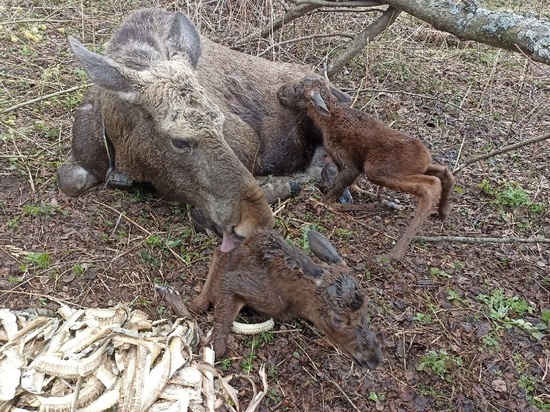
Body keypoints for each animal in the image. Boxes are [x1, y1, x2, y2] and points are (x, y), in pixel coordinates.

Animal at [58, 7, 352, 251]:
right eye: (179, 140)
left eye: (220, 122)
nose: (259, 219)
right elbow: (68, 179)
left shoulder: (246, 141)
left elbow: (202, 213)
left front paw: (279, 185)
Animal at [190, 229, 384, 370]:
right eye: (337, 319)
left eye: (367, 309)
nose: (374, 360)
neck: (294, 304)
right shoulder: (242, 285)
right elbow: (219, 341)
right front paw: (210, 347)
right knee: (218, 253)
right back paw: (199, 302)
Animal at [280, 75, 458, 260]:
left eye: (297, 89)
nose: (280, 91)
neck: (327, 122)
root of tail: (425, 157)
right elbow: (348, 187)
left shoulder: (350, 164)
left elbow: (332, 196)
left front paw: (323, 204)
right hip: (417, 168)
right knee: (444, 172)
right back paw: (442, 212)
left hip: (376, 169)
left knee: (430, 186)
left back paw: (394, 253)